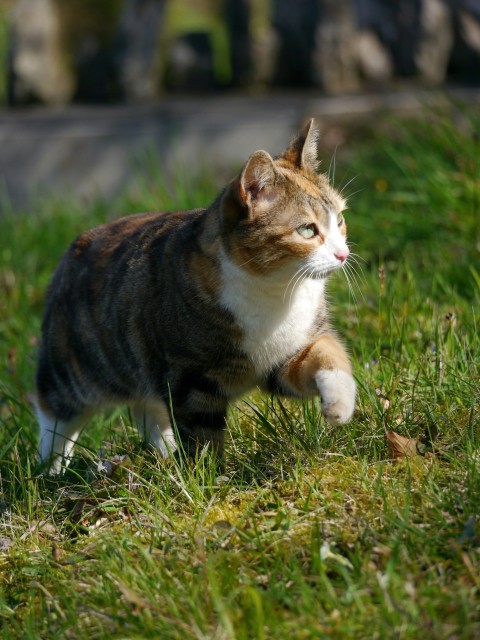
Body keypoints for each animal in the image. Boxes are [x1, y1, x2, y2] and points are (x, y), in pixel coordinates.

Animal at [34, 119, 356, 476]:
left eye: (339, 220)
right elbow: (202, 433)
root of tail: (76, 245)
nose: (343, 254)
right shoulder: (190, 379)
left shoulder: (284, 355)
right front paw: (208, 476)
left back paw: (163, 453)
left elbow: (325, 353)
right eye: (307, 230)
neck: (275, 292)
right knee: (54, 412)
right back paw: (51, 472)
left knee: (146, 409)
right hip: (73, 367)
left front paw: (340, 402)